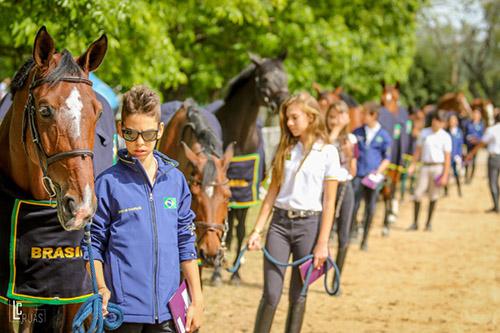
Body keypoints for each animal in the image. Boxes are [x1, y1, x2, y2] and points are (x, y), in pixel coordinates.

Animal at [215, 52, 290, 282]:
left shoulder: (247, 190)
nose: (284, 102)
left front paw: (236, 274)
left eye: (285, 77)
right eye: (265, 79)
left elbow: (240, 230)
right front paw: (217, 275)